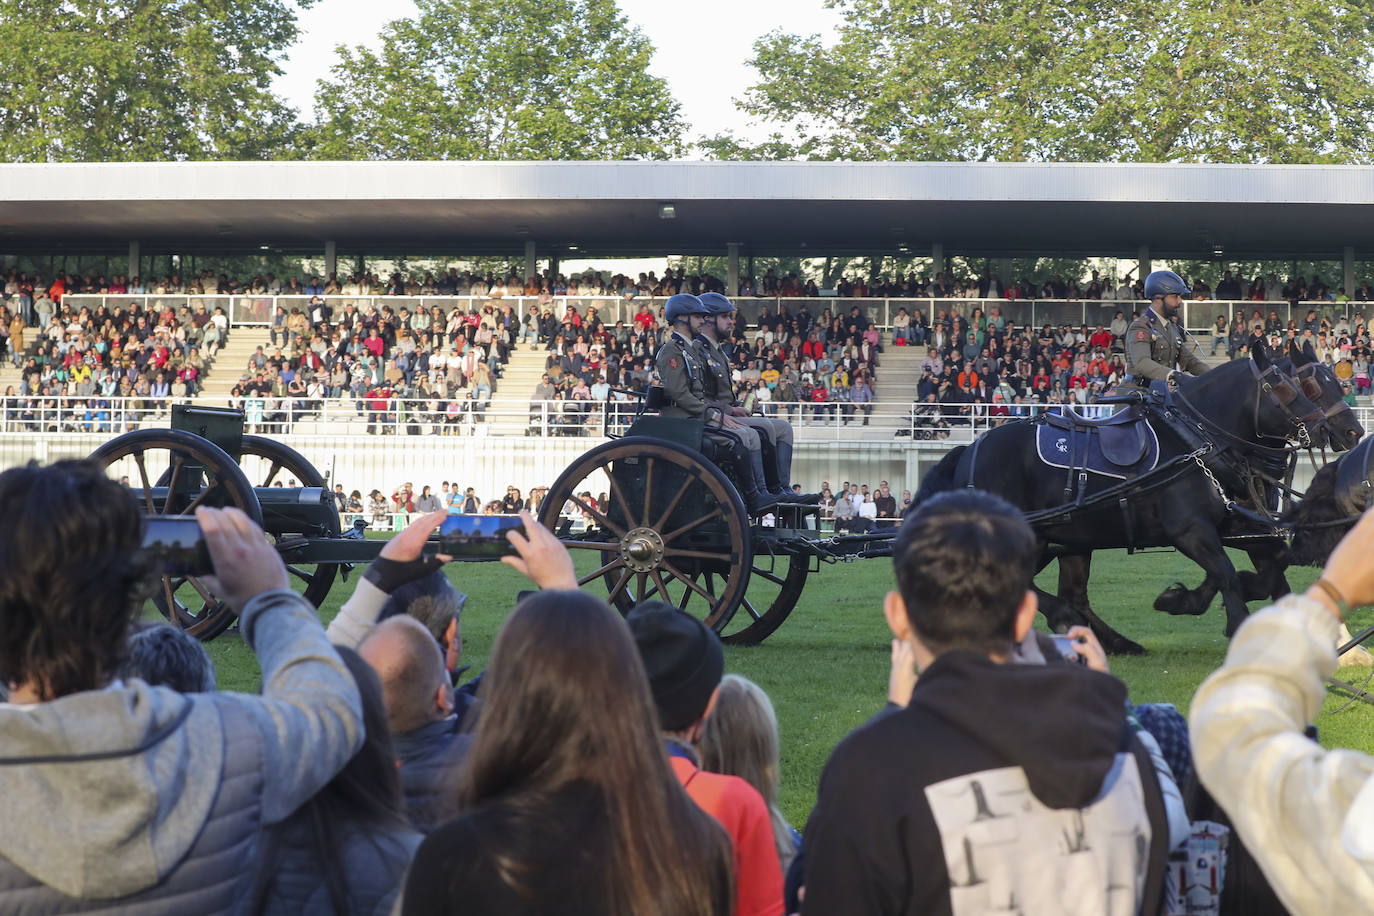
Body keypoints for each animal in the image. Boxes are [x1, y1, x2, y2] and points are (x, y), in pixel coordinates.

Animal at [917, 347, 1357, 656]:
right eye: (1292, 386)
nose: (1345, 430)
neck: (1198, 441)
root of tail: (971, 449)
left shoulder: (1239, 523)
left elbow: (1270, 567)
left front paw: (1190, 599)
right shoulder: (1191, 531)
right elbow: (1228, 574)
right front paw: (1226, 619)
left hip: (1068, 541)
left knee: (1071, 595)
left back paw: (1111, 640)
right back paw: (1067, 622)